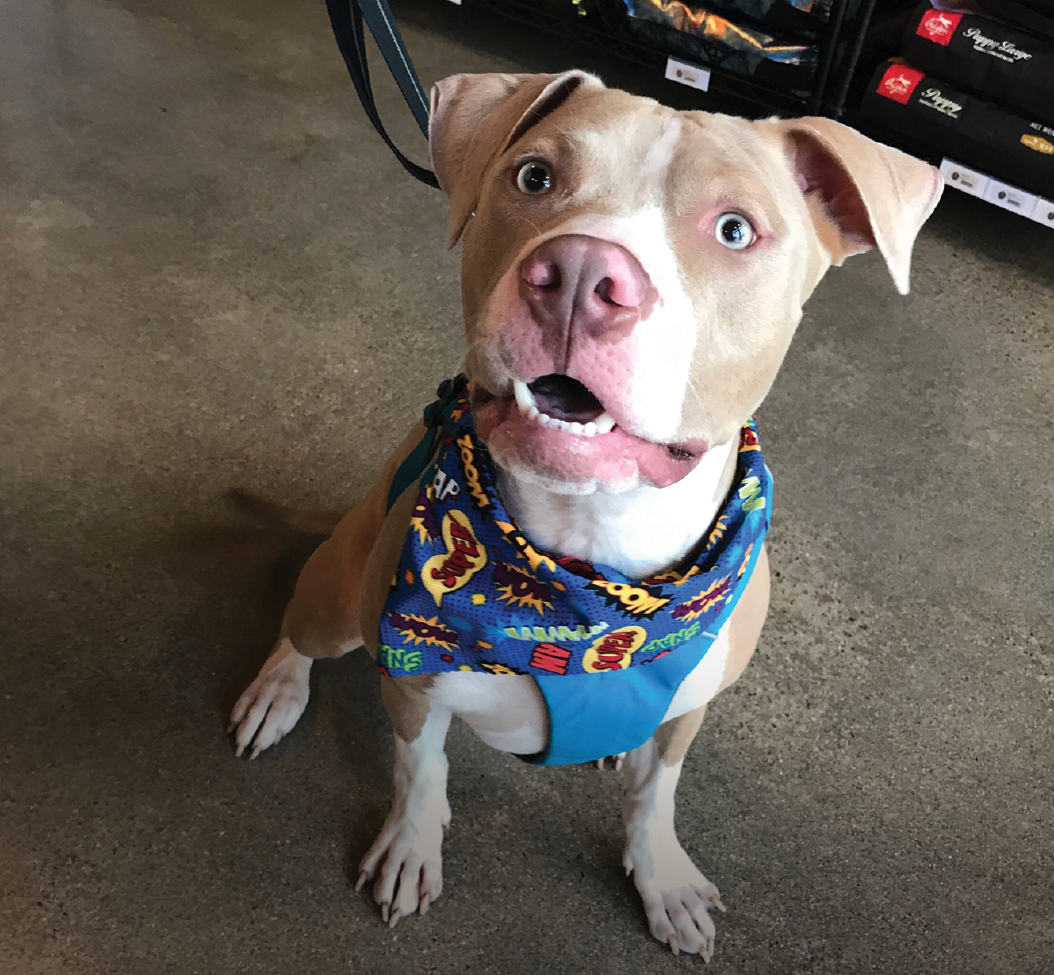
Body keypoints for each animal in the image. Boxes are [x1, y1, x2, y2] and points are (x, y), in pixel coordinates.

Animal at [226, 70, 944, 957]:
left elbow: (654, 793)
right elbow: (421, 770)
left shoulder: (687, 711)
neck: (589, 572)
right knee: (300, 627)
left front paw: (662, 874)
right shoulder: (414, 681)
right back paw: (276, 690)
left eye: (734, 229)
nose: (578, 272)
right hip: (340, 590)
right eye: (535, 177)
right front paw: (411, 844)